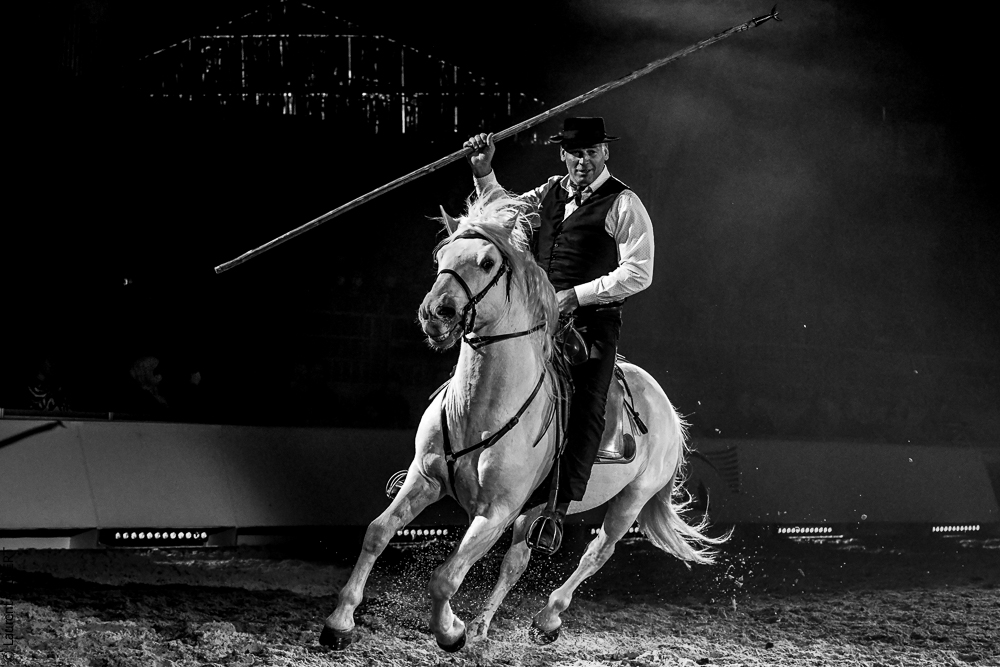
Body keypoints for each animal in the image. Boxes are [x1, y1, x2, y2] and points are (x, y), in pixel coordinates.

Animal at [321, 189, 728, 651]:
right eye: (442, 255)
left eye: (487, 263)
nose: (435, 313)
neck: (480, 411)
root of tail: (666, 408)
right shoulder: (425, 479)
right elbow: (377, 532)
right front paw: (340, 621)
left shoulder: (495, 511)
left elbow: (445, 578)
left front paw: (450, 631)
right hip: (535, 510)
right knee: (517, 561)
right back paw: (483, 627)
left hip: (630, 501)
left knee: (597, 552)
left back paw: (546, 618)